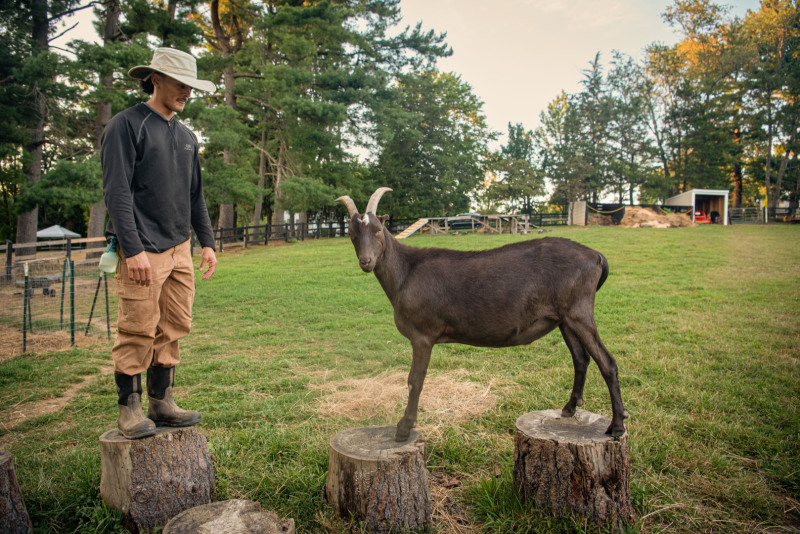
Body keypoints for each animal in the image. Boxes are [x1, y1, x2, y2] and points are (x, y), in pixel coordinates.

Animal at [337, 187, 627, 441]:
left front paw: (403, 429)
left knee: (607, 362)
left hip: (578, 311)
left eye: (378, 230)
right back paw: (569, 408)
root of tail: (596, 256)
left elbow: (414, 381)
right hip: (564, 318)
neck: (406, 272)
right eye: (351, 234)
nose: (366, 261)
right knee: (581, 359)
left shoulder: (422, 335)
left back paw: (617, 426)